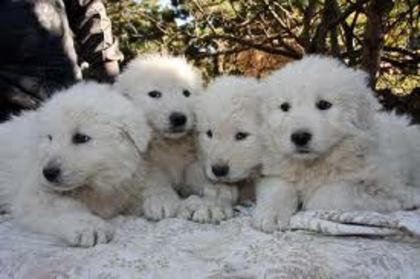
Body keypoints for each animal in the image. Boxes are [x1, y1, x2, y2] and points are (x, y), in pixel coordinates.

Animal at [8, 83, 151, 247]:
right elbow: (63, 207)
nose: (49, 173)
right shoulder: (35, 191)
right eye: (50, 137)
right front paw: (90, 228)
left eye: (81, 138)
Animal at [115, 54, 203, 221]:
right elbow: (155, 178)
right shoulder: (147, 162)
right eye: (154, 94)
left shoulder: (191, 158)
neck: (169, 144)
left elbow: (195, 170)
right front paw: (162, 201)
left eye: (186, 93)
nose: (179, 118)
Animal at [254, 55, 420, 233]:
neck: (313, 164)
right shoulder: (275, 172)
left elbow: (326, 197)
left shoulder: (378, 179)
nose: (299, 137)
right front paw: (271, 215)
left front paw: (387, 201)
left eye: (324, 105)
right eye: (284, 107)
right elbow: (277, 187)